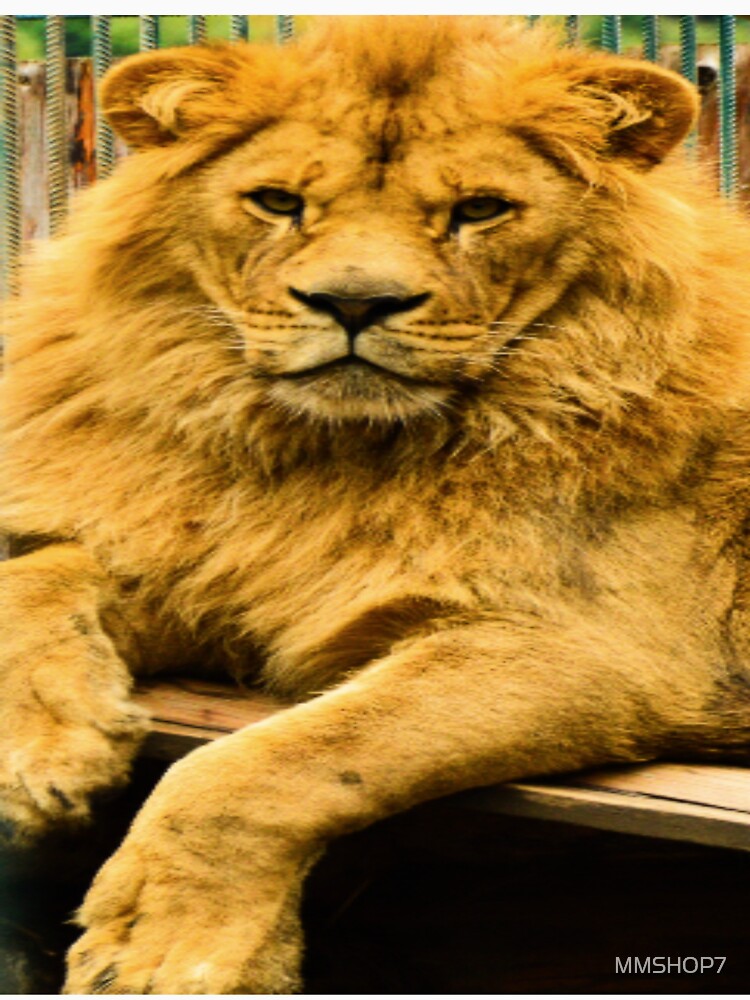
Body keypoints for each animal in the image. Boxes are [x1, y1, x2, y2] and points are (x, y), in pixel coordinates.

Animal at [2, 14, 750, 994]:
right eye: (278, 202)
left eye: (480, 209)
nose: (354, 303)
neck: (331, 455)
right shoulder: (231, 573)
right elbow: (37, 577)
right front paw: (44, 755)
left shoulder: (607, 650)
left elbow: (274, 762)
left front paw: (171, 949)